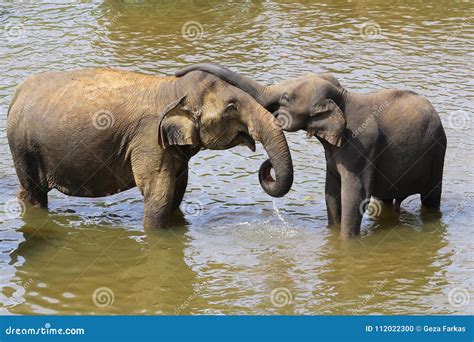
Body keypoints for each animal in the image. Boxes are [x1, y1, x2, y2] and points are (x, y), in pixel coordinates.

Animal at [7, 67, 292, 227]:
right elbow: (158, 196)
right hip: (22, 146)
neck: (172, 87)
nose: (267, 166)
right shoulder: (148, 141)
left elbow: (177, 191)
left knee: (27, 191)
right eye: (232, 107)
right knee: (36, 193)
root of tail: (17, 93)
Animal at [176, 63, 446, 238]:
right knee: (388, 201)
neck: (343, 98)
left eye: (286, 98)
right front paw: (332, 233)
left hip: (438, 152)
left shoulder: (361, 147)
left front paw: (347, 242)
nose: (179, 72)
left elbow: (354, 195)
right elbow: (330, 192)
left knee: (430, 198)